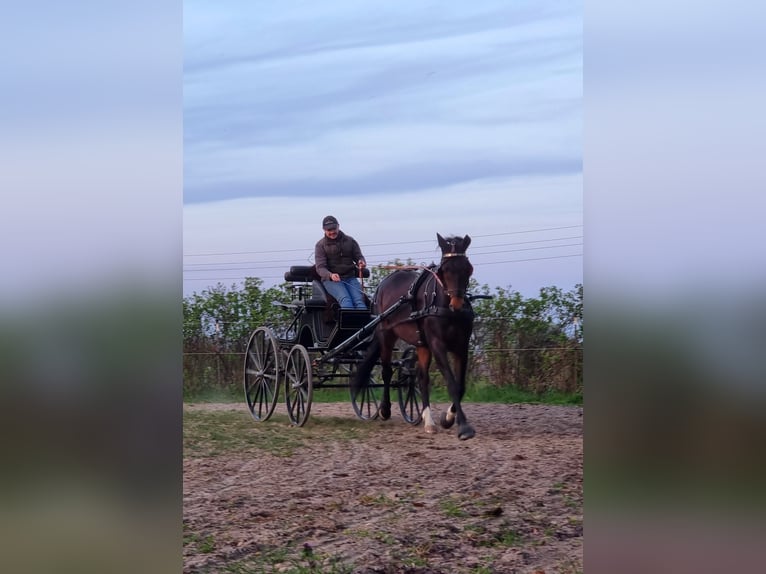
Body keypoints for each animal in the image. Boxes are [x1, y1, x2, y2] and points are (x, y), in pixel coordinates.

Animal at [356, 234, 476, 440]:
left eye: (468, 268)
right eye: (444, 270)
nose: (457, 305)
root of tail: (384, 283)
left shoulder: (461, 346)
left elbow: (460, 386)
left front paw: (447, 418)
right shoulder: (437, 345)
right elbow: (452, 384)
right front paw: (464, 427)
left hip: (421, 344)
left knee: (421, 377)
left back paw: (428, 421)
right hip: (386, 334)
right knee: (387, 371)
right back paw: (385, 410)